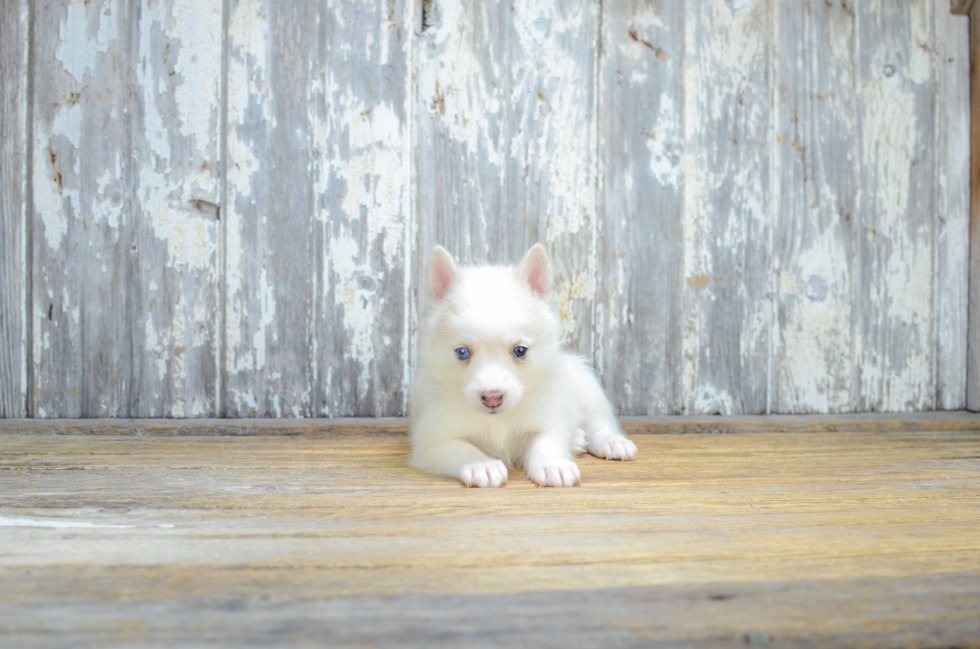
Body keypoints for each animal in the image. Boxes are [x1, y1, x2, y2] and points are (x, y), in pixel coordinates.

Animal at [406, 243, 636, 486]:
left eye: (520, 351)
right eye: (462, 352)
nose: (492, 398)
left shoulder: (547, 418)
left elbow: (546, 442)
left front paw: (553, 463)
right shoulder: (434, 441)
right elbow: (463, 449)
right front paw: (482, 464)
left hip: (586, 385)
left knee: (599, 421)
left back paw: (610, 441)